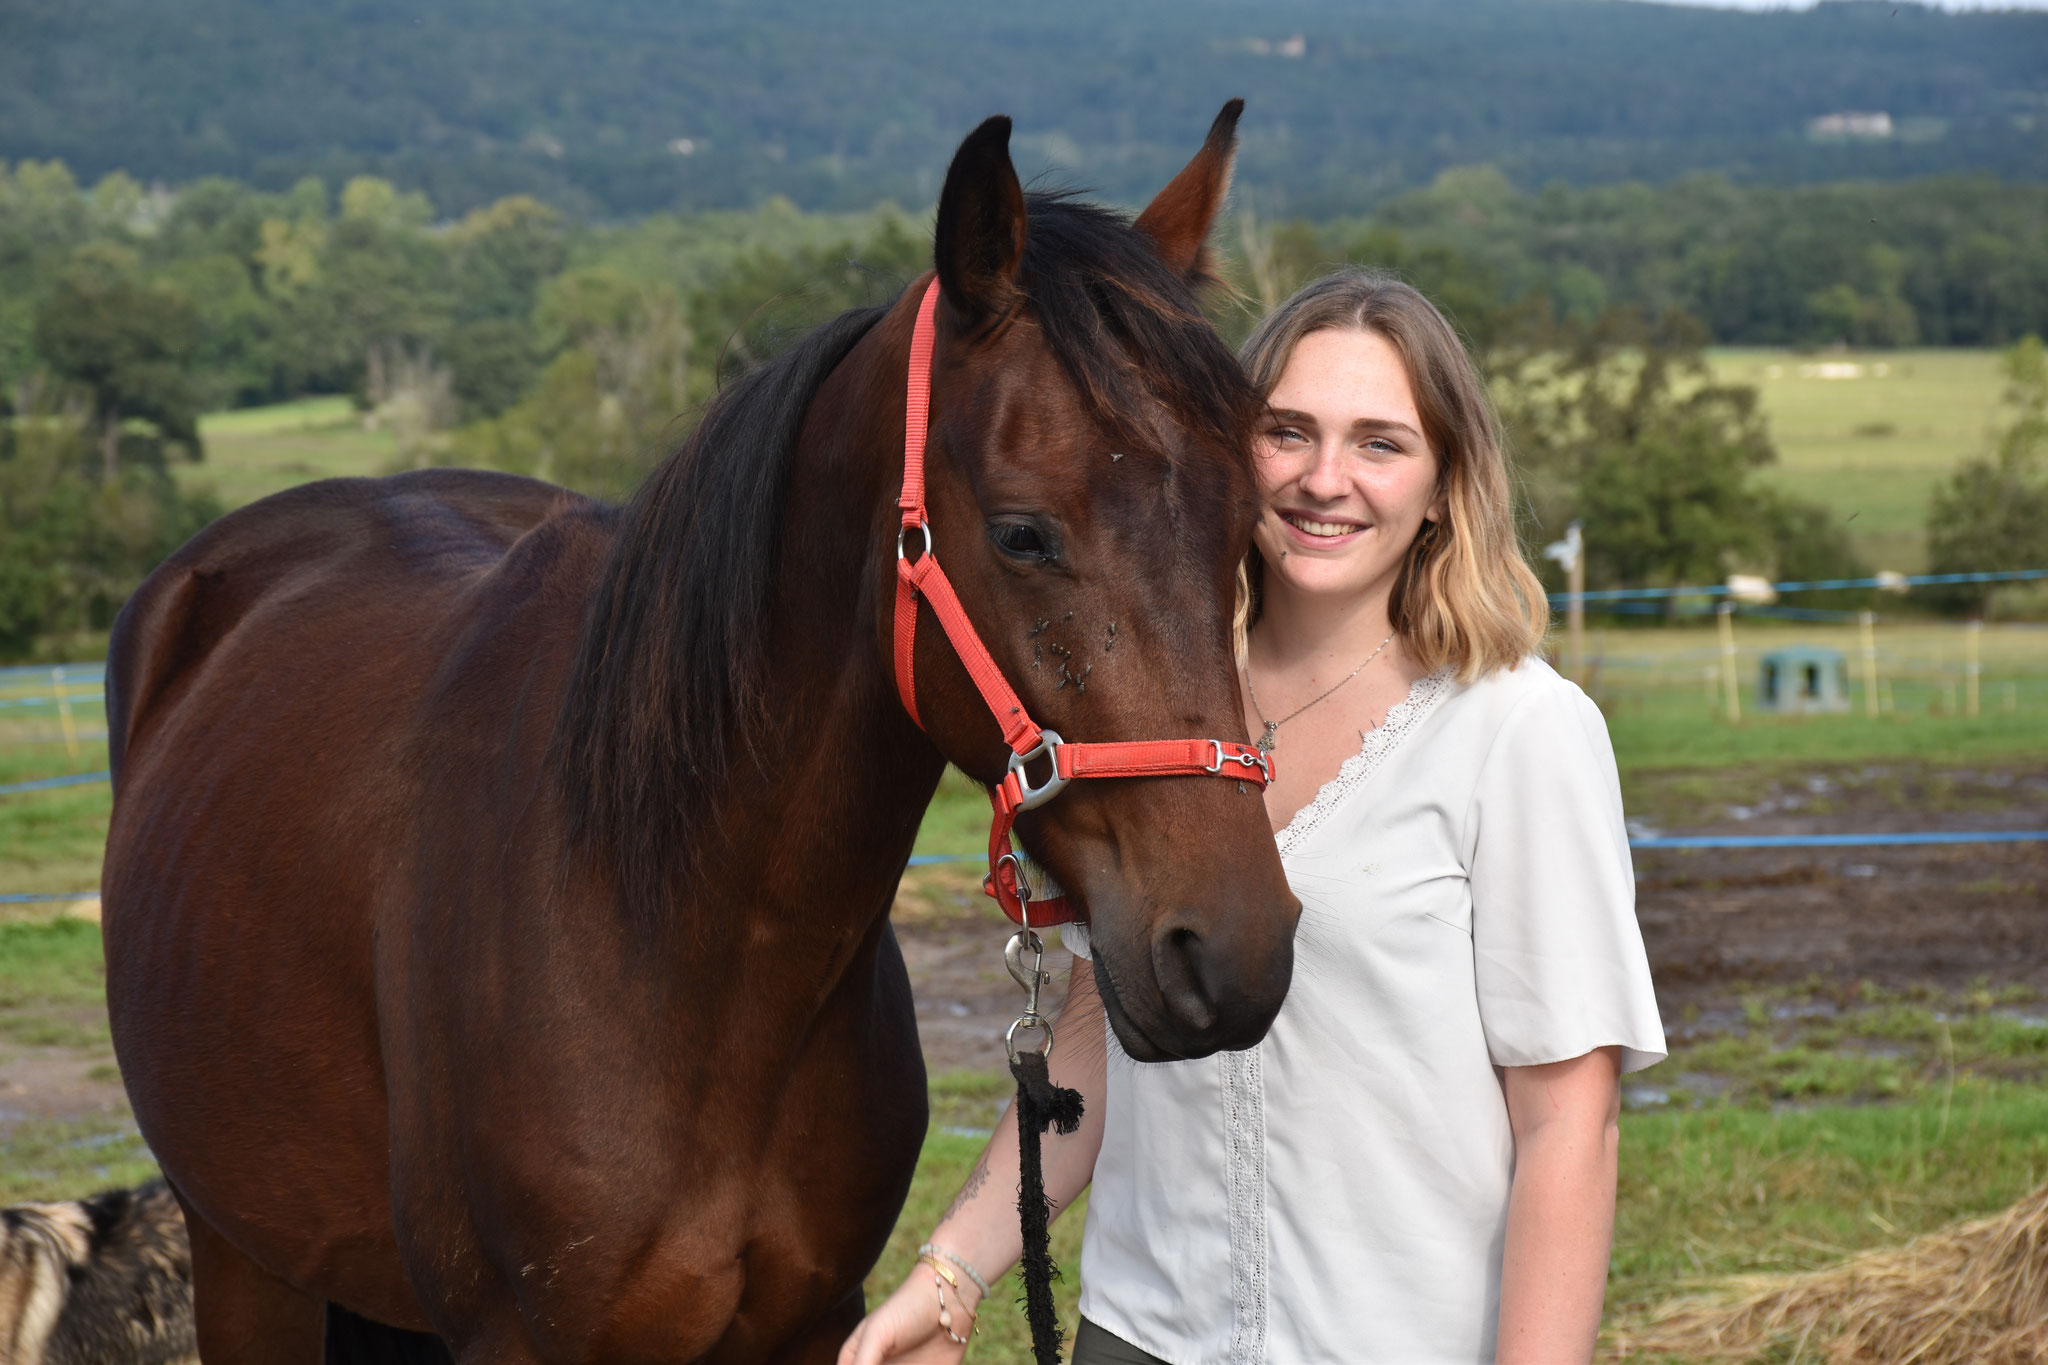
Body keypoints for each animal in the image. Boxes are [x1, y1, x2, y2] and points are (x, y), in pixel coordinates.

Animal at [96, 109, 1294, 1365]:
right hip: (244, 1259)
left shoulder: (814, 1319)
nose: (1232, 952)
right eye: (1022, 533)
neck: (680, 944)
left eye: (1244, 530)